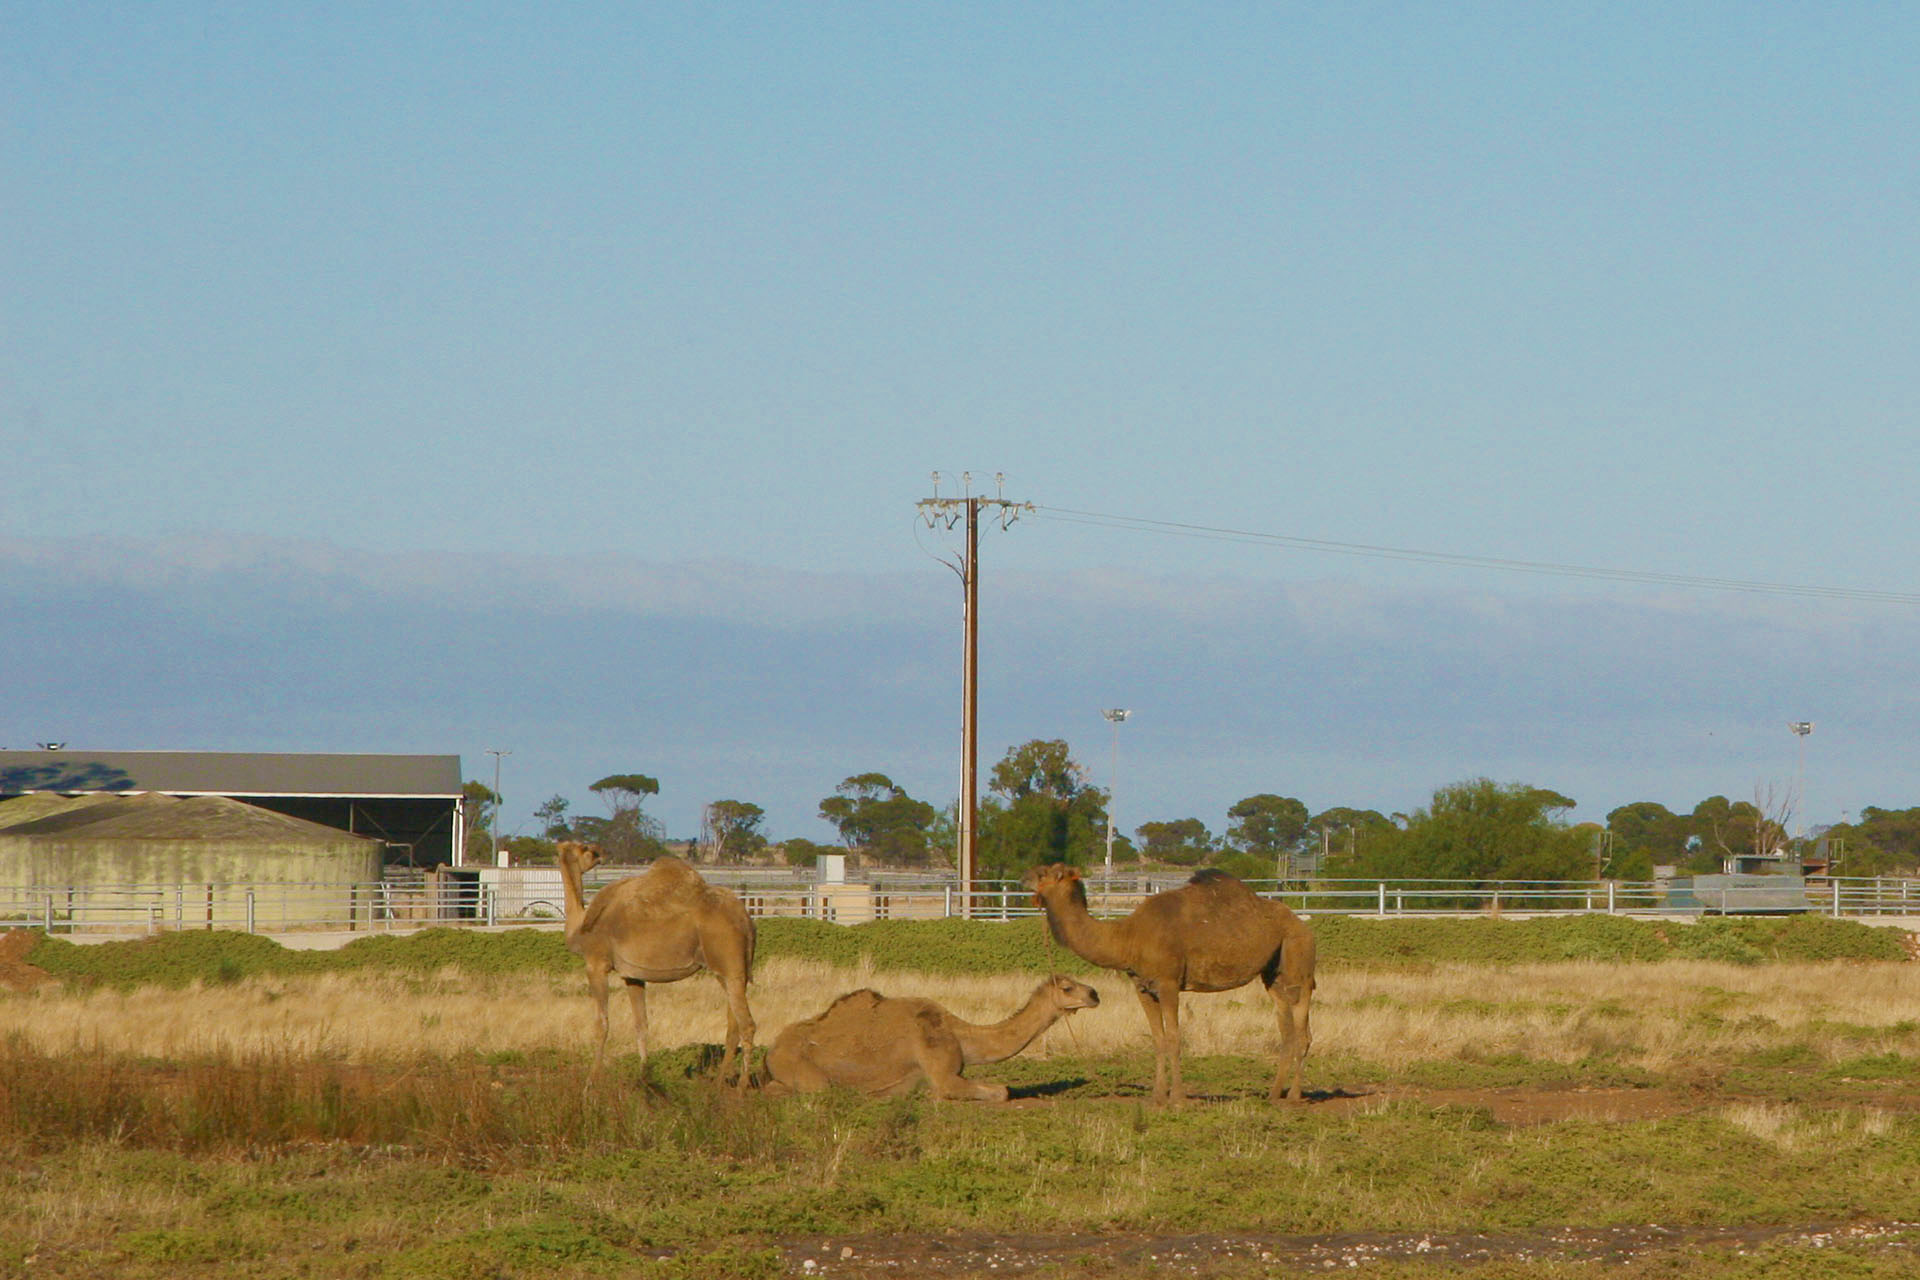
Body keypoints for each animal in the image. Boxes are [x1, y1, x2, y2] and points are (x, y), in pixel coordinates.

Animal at [556, 840, 756, 1090]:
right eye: (587, 849)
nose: (600, 853)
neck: (581, 927)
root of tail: (747, 920)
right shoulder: (632, 975)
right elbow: (641, 1025)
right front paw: (644, 1078)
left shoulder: (596, 964)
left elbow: (602, 1025)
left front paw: (590, 1083)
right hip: (731, 971)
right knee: (733, 1024)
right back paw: (718, 1083)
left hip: (729, 963)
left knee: (747, 1025)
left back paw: (741, 1088)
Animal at [760, 971, 1105, 1105]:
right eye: (1067, 988)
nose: (1094, 994)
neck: (960, 1033)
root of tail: (771, 1050)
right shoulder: (942, 1070)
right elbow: (1001, 1091)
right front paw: (929, 1096)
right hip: (802, 1069)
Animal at [1021, 867, 1320, 1105]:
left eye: (1047, 872)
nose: (1024, 876)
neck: (1127, 937)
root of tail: (1304, 925)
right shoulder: (1143, 988)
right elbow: (1158, 1039)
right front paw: (1157, 1096)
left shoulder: (1168, 984)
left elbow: (1175, 1038)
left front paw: (1177, 1099)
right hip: (1272, 975)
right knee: (1287, 1030)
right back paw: (1273, 1094)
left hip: (1299, 962)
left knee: (1303, 1029)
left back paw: (1294, 1097)